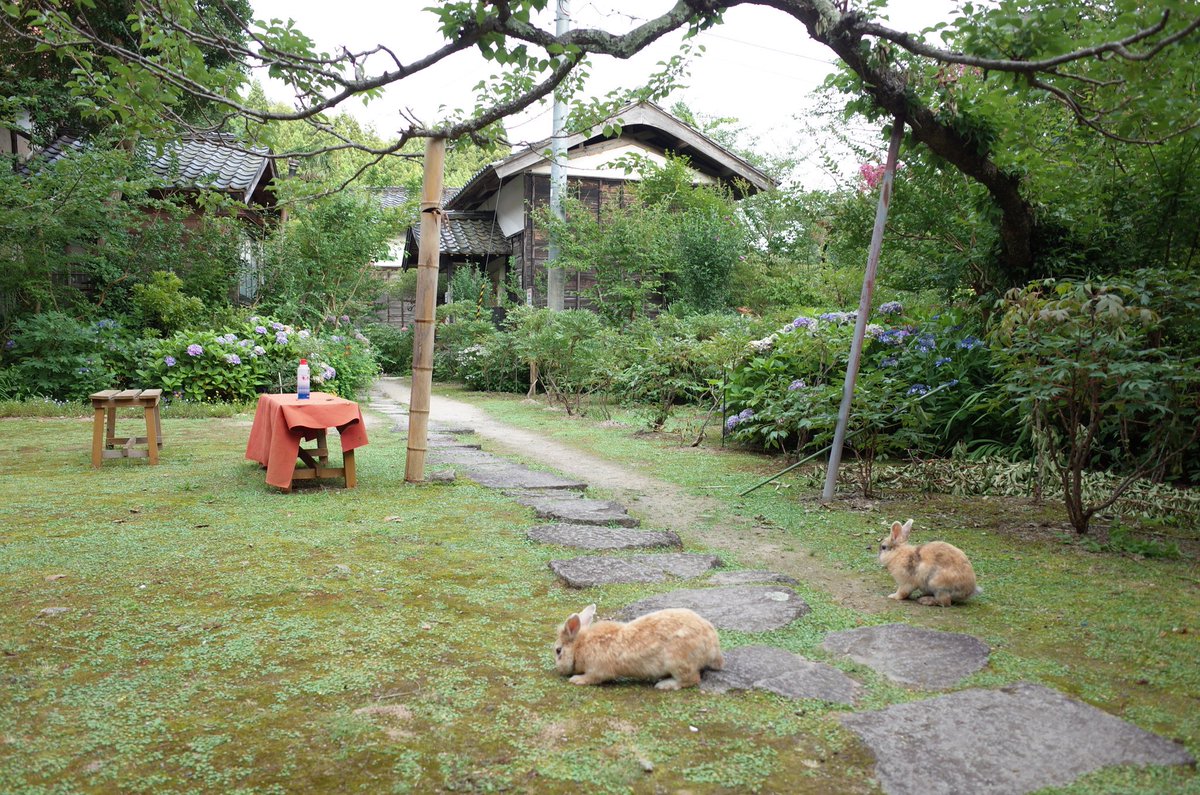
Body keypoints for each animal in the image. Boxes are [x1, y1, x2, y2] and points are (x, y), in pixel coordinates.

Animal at [552, 605, 720, 691]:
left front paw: (576, 679)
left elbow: (593, 678)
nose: (559, 670)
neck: (580, 646)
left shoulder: (598, 670)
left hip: (678, 661)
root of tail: (713, 646)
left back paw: (664, 685)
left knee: (692, 679)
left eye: (558, 651)